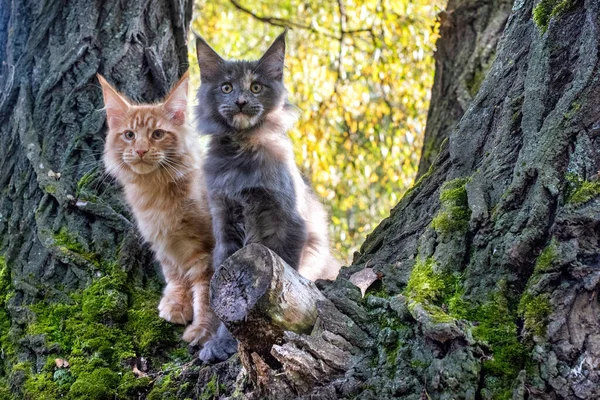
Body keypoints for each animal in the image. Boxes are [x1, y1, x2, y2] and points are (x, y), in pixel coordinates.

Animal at [97, 72, 219, 346]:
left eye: (157, 134)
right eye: (129, 135)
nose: (141, 150)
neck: (156, 194)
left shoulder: (207, 249)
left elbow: (207, 291)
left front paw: (203, 330)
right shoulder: (163, 242)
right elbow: (175, 274)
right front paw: (177, 303)